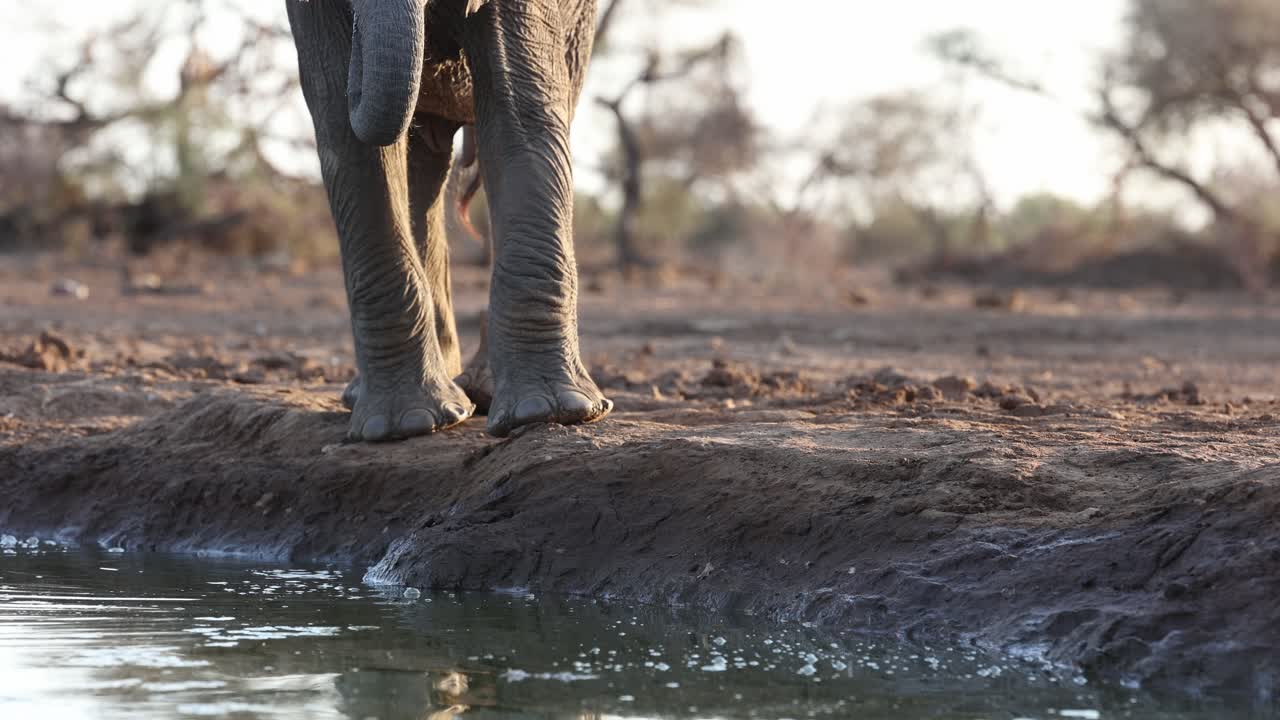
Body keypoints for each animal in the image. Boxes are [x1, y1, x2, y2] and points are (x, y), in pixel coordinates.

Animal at [286, 0, 612, 441]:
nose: (358, 69)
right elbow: (343, 132)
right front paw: (400, 426)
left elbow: (521, 108)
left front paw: (553, 412)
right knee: (419, 162)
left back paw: (484, 392)